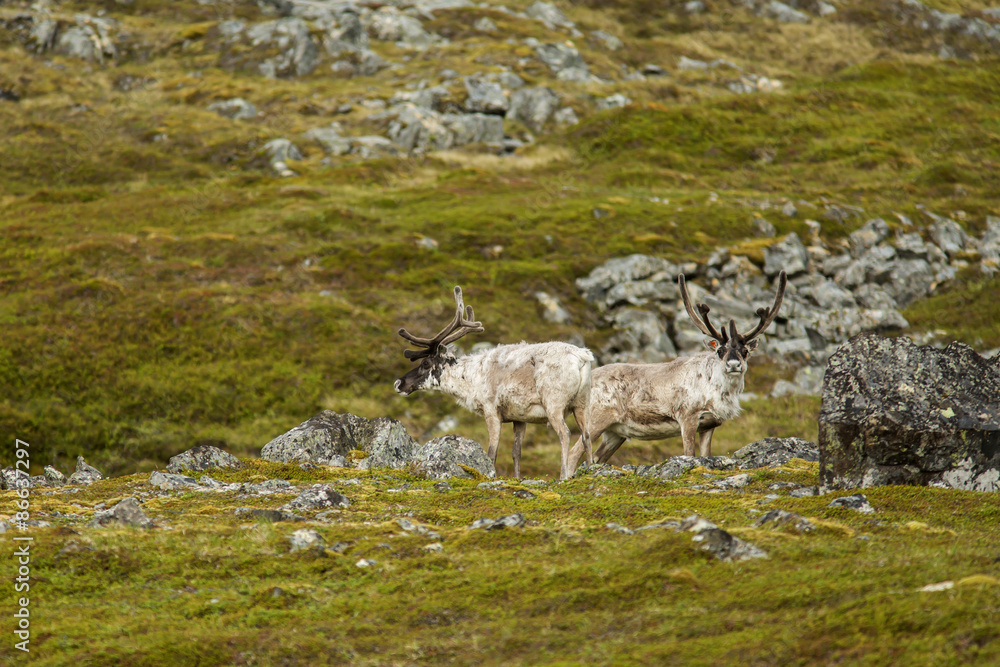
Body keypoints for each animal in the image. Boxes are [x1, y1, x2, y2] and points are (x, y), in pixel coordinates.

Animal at [394, 286, 595, 480]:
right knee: (586, 434)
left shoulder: (491, 410)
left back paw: (563, 476)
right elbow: (516, 452)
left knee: (565, 433)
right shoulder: (519, 417)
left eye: (425, 363)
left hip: (554, 403)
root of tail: (582, 357)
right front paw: (516, 479)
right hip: (582, 403)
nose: (398, 383)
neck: (470, 380)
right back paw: (591, 470)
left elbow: (492, 453)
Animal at [566, 271, 787, 474]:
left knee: (596, 457)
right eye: (720, 350)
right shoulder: (687, 417)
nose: (733, 365)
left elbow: (706, 455)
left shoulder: (709, 425)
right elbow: (689, 454)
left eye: (745, 351)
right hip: (595, 420)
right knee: (572, 454)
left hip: (615, 432)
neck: (717, 390)